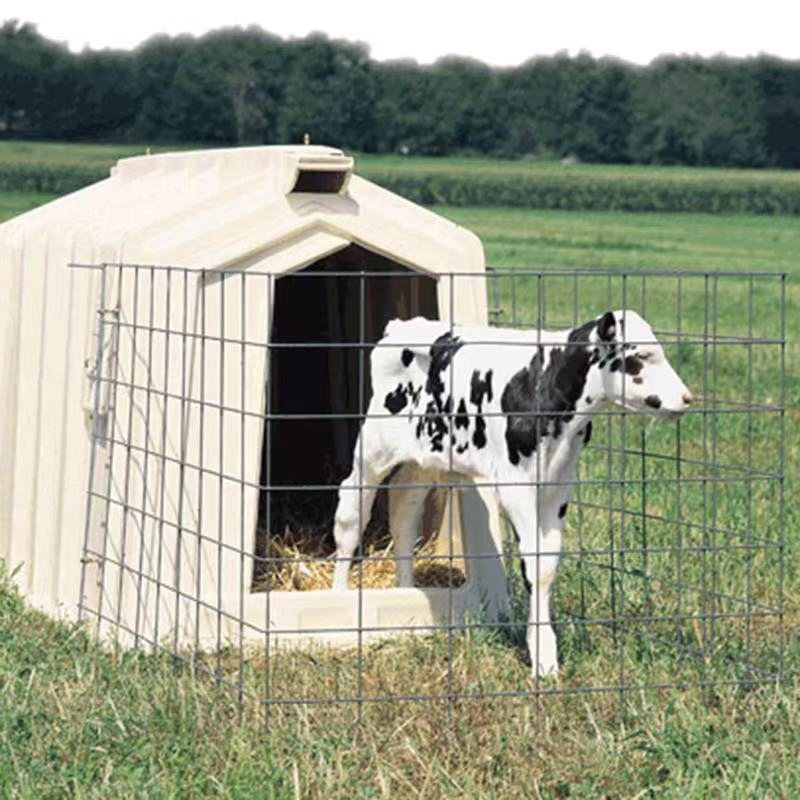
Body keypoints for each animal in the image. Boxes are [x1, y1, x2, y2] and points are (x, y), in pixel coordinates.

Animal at [331, 310, 693, 677]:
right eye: (641, 356)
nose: (687, 398)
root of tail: (403, 325)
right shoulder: (515, 486)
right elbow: (533, 563)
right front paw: (541, 656)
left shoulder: (557, 486)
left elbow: (547, 565)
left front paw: (545, 653)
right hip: (372, 448)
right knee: (351, 514)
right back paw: (340, 596)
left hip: (425, 458)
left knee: (404, 511)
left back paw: (405, 591)